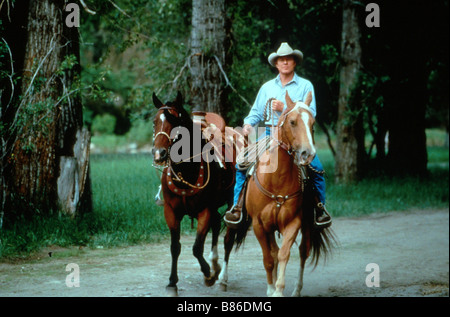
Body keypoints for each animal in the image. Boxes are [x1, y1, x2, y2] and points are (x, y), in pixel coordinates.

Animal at [150, 92, 243, 296]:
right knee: (216, 226)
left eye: (175, 121)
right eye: (154, 122)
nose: (159, 153)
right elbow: (175, 247)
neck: (186, 172)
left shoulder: (204, 211)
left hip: (231, 205)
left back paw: (222, 278)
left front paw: (208, 274)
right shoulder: (170, 212)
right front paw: (172, 283)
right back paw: (215, 264)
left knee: (228, 238)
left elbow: (197, 247)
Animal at [236, 91, 334, 296]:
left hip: (307, 223)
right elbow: (268, 258)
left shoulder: (293, 222)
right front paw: (270, 288)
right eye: (293, 122)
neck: (276, 180)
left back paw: (296, 289)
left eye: (312, 122)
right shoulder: (258, 224)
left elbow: (283, 254)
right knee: (273, 251)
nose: (308, 154)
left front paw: (279, 290)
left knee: (303, 252)